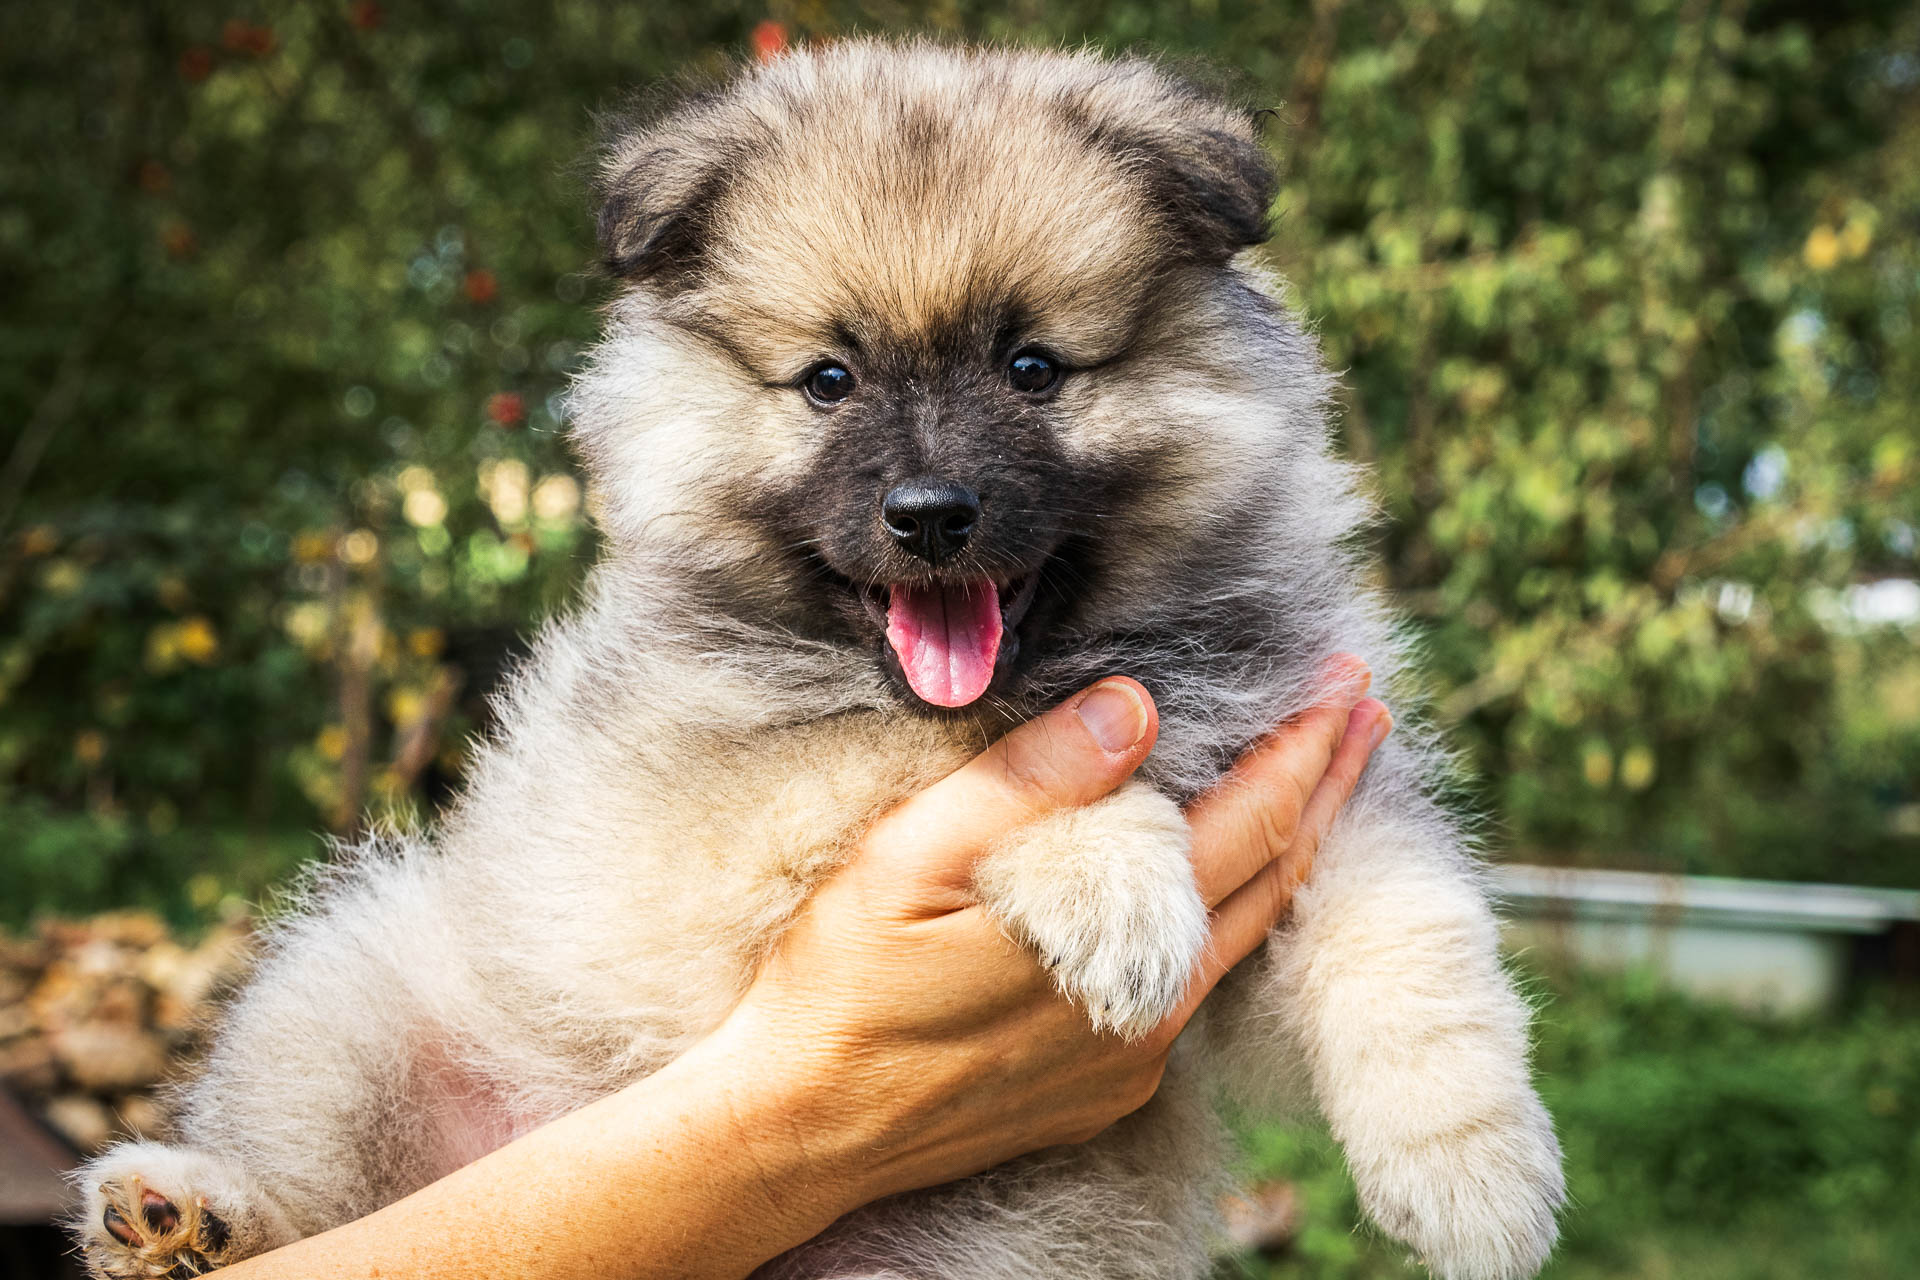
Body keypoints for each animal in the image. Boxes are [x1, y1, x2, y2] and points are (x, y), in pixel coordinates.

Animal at [78, 40, 1574, 1280]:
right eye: (829, 381)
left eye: (1032, 368)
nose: (930, 515)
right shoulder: (730, 812)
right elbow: (951, 744)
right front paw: (1117, 878)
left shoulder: (1316, 805)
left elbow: (1414, 938)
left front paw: (1478, 1175)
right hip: (350, 992)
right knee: (322, 1171)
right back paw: (185, 1213)